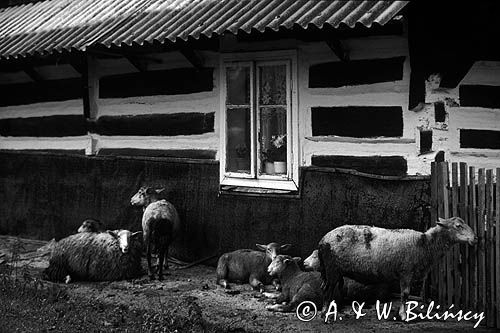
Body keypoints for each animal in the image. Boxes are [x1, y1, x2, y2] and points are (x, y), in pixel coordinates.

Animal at [316, 217, 476, 320]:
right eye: (458, 226)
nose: (475, 238)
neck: (425, 244)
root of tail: (322, 240)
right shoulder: (406, 271)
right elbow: (405, 294)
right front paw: (403, 315)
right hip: (332, 268)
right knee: (328, 289)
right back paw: (325, 314)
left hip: (331, 270)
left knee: (325, 287)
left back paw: (327, 312)